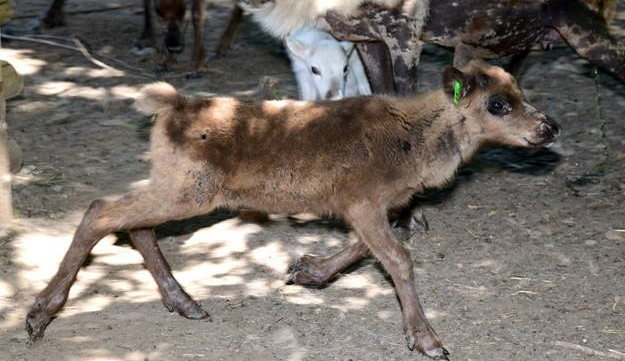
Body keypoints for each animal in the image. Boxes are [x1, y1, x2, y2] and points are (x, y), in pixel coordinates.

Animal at [26, 49, 560, 358]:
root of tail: (170, 106)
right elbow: (398, 259)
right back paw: (39, 316)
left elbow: (368, 249)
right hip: (191, 190)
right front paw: (427, 341)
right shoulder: (362, 199)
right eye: (497, 104)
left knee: (132, 222)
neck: (416, 141)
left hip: (175, 185)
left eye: (521, 91)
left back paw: (186, 304)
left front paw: (305, 272)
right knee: (102, 210)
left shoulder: (373, 206)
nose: (549, 127)